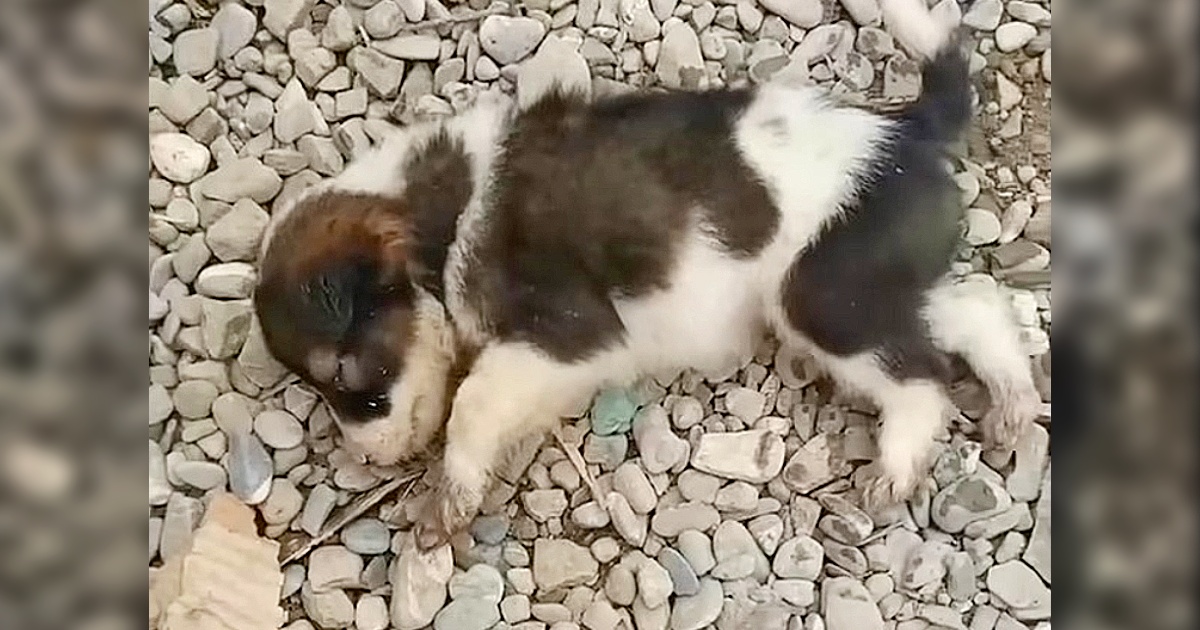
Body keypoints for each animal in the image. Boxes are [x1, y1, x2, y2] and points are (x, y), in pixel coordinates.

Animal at [253, 0, 1041, 547]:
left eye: (346, 376)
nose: (366, 461)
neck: (438, 213)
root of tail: (906, 131)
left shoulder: (572, 332)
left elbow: (473, 402)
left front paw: (449, 499)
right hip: (869, 282)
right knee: (975, 308)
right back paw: (1013, 405)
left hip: (819, 297)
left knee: (924, 377)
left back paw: (897, 468)